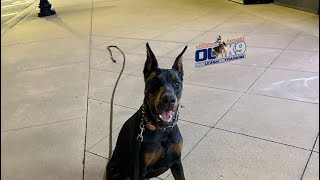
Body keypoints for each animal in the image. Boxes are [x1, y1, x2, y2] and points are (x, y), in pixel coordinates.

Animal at [105, 43, 188, 179]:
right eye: (154, 83)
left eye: (177, 83)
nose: (169, 99)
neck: (162, 130)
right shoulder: (139, 170)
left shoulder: (176, 162)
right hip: (116, 170)